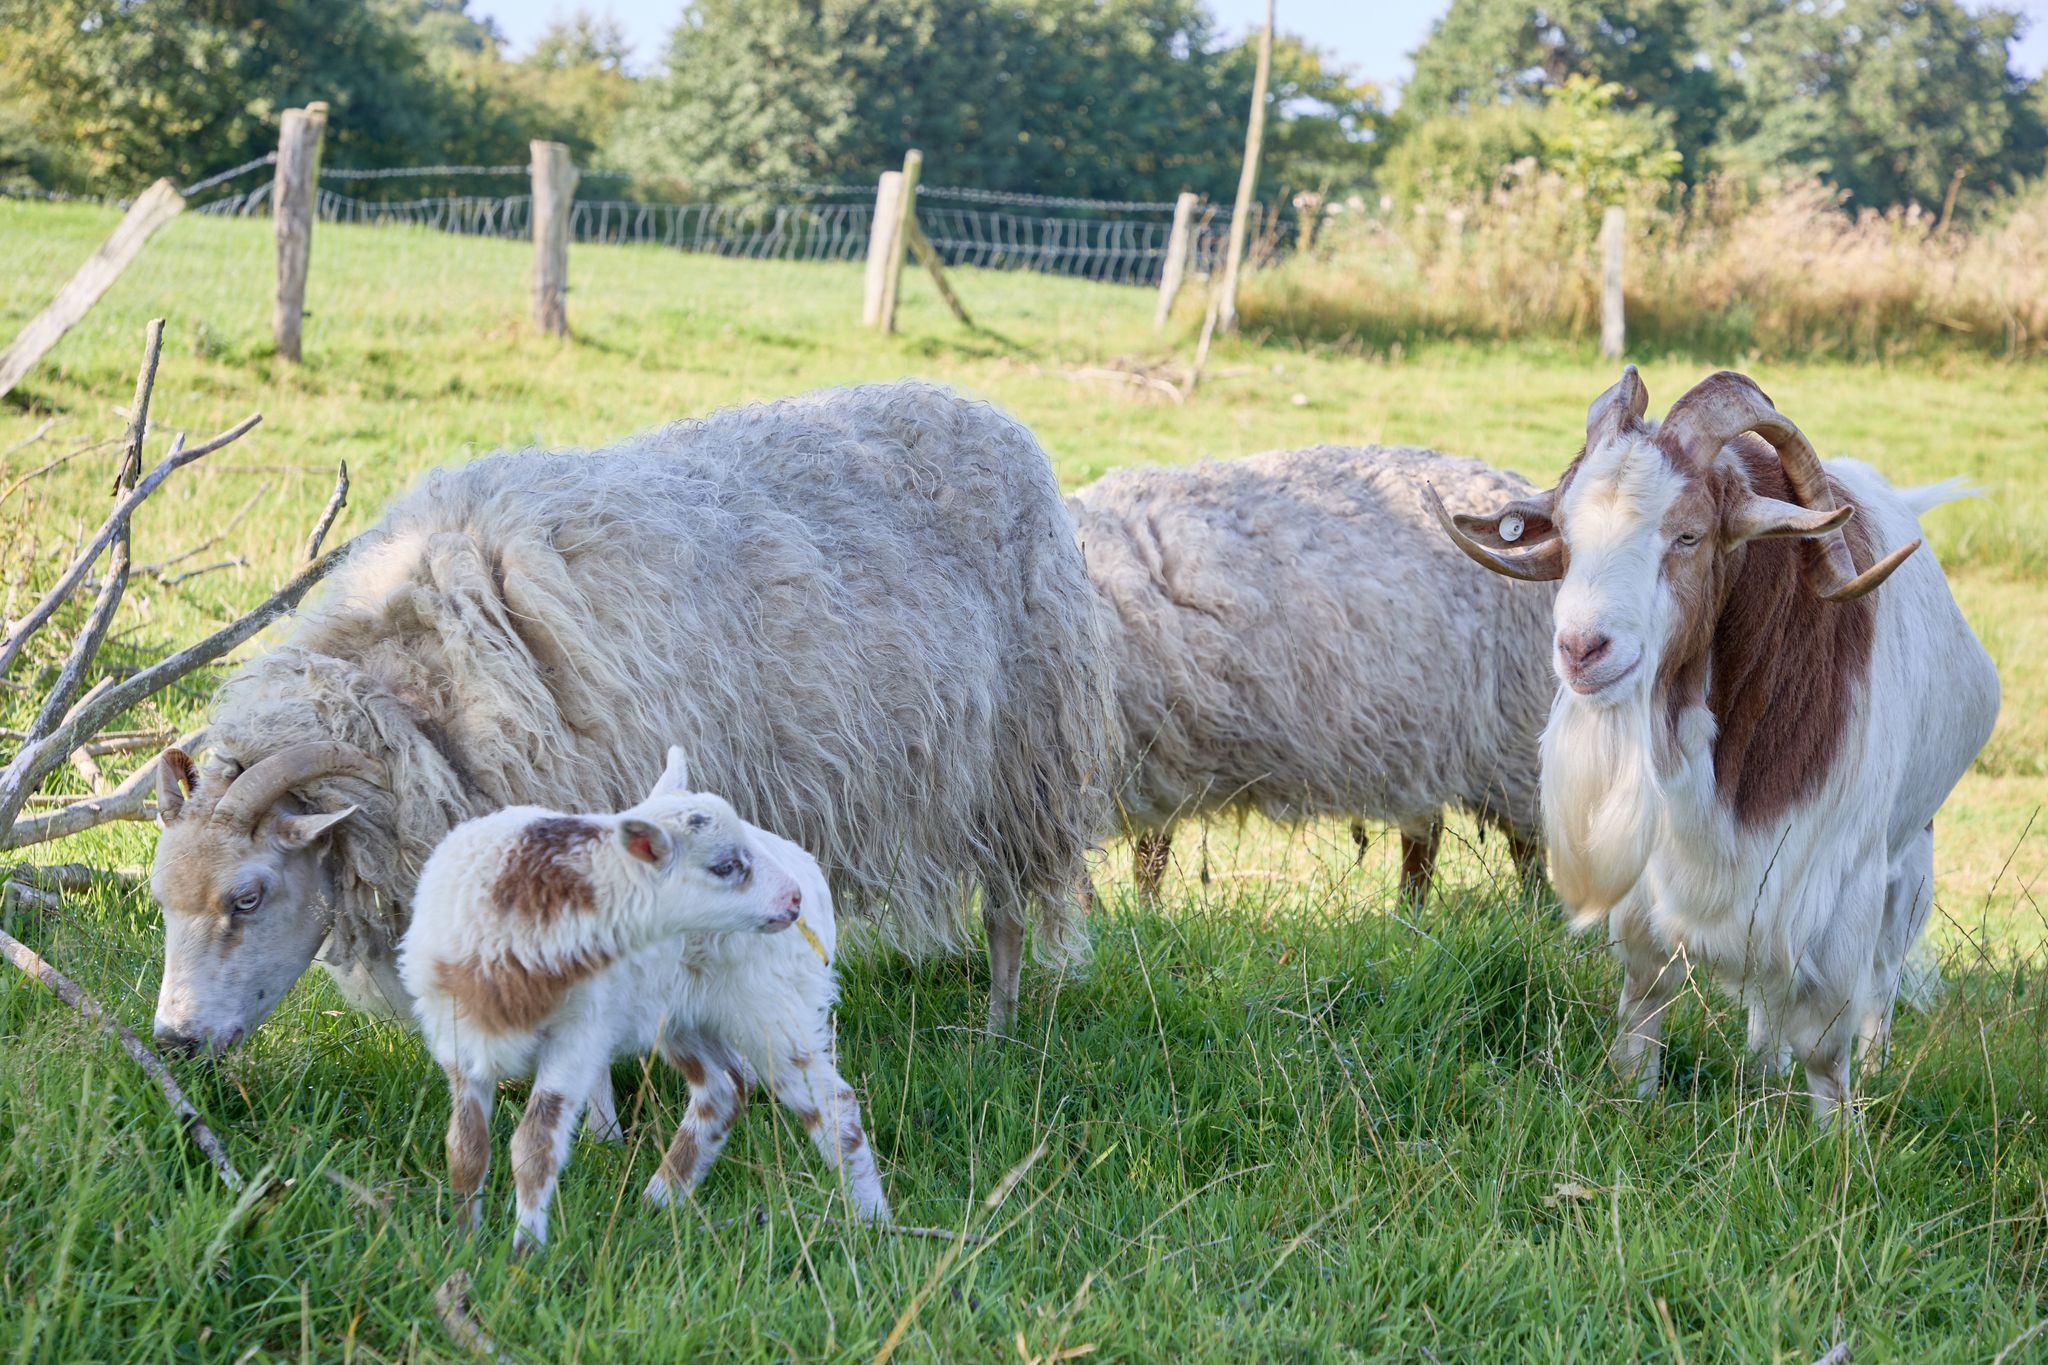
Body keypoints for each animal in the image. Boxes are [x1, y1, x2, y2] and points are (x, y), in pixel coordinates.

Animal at [149, 378, 1114, 1064]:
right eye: (162, 898)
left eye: (248, 895)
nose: (173, 1042)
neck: (430, 696)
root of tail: (994, 415)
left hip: (1022, 760)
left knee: (1008, 912)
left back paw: (996, 1033)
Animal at [399, 749, 888, 1252]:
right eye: (725, 866)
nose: (791, 899)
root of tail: (809, 872)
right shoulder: (458, 1041)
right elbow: (465, 1147)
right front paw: (461, 1244)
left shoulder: (578, 1038)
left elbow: (534, 1144)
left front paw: (524, 1252)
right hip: (679, 1015)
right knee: (724, 1089)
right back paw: (659, 1202)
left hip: (770, 1006)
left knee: (833, 1104)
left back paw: (871, 1221)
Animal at [1064, 444, 1556, 900]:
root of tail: (1512, 483)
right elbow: (1148, 857)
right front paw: (1144, 914)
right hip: (1423, 739)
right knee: (1425, 836)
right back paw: (1409, 915)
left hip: (1513, 731)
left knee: (1527, 843)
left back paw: (1534, 911)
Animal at [1425, 370, 1998, 1121]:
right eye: (1568, 535)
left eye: (1689, 535)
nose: (1582, 648)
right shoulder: (1660, 880)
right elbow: (1645, 1002)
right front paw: (1633, 1101)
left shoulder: (1835, 878)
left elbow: (1826, 1045)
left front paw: (1838, 1138)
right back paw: (1762, 1072)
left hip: (1910, 856)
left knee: (1881, 981)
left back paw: (1870, 1070)